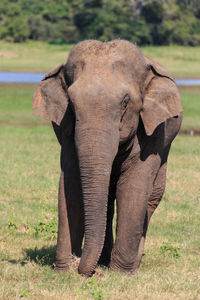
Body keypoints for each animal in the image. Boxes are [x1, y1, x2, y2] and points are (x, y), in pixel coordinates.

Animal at [32, 39, 183, 276]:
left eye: (125, 102)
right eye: (71, 104)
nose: (81, 265)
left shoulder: (153, 135)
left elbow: (133, 188)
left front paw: (121, 273)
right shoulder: (67, 134)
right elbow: (70, 184)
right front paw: (64, 270)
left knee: (151, 198)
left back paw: (131, 263)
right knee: (108, 201)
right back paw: (103, 260)